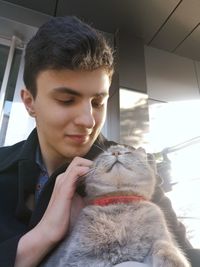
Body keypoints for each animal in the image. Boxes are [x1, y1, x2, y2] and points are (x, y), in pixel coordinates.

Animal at [41, 147, 191, 267]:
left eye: (128, 152)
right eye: (104, 155)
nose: (116, 152)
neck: (121, 202)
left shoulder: (163, 239)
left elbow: (164, 245)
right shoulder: (76, 257)